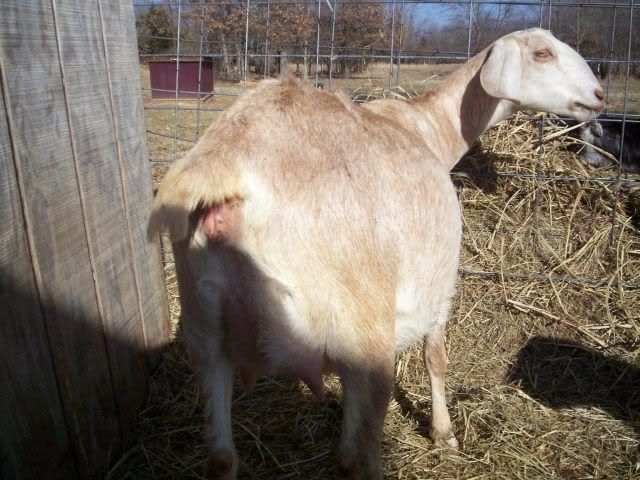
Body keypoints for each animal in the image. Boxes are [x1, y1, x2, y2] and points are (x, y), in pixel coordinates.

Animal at [148, 28, 604, 480]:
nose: (599, 95)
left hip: (204, 331)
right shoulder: (439, 283)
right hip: (363, 333)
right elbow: (435, 358)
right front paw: (444, 434)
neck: (430, 128)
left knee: (222, 457)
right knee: (360, 456)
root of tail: (223, 166)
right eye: (542, 53)